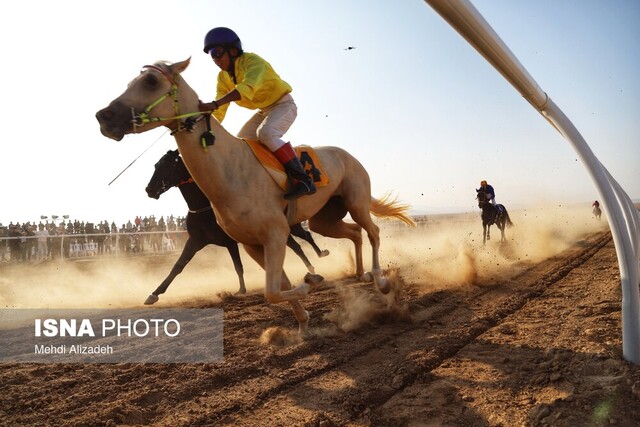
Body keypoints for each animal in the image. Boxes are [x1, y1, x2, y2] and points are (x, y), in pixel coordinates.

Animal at [142, 150, 328, 304]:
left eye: (167, 165)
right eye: (156, 165)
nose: (149, 189)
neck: (206, 208)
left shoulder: (230, 242)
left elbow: (238, 266)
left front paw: (241, 290)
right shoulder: (196, 240)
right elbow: (179, 265)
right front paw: (154, 293)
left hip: (291, 227)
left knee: (306, 237)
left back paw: (319, 256)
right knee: (297, 246)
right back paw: (311, 267)